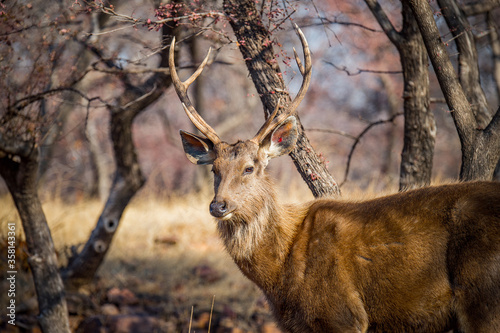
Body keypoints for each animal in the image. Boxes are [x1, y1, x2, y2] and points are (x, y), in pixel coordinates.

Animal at [168, 28, 500, 332]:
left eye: (250, 168)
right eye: (215, 169)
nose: (218, 206)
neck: (280, 277)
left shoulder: (341, 314)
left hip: (483, 295)